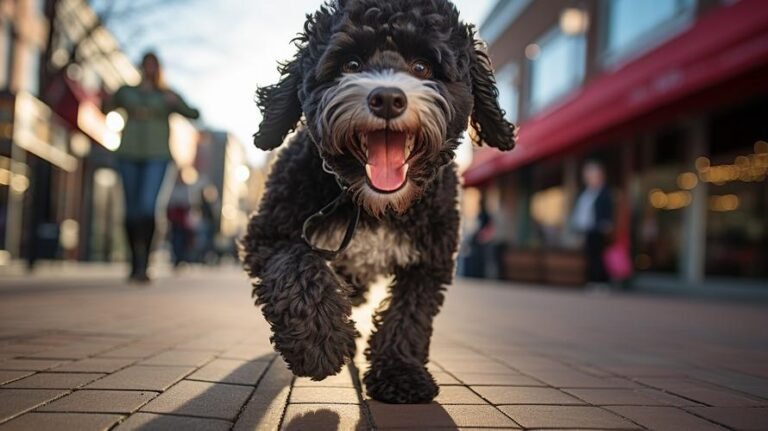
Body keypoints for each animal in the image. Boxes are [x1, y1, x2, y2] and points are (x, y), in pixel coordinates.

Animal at [240, 0, 516, 404]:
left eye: (422, 67)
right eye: (351, 64)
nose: (387, 98)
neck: (373, 206)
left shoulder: (429, 261)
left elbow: (409, 316)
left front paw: (400, 372)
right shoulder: (269, 232)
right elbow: (297, 265)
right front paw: (319, 343)